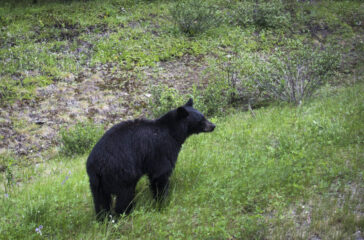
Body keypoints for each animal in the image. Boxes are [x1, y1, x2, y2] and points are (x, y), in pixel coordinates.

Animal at [86, 98, 215, 219]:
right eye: (201, 120)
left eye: (204, 116)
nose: (213, 126)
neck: (173, 132)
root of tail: (98, 165)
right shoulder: (161, 150)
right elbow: (160, 175)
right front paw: (162, 204)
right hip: (121, 173)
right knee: (124, 196)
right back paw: (125, 215)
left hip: (96, 182)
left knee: (100, 201)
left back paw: (103, 219)